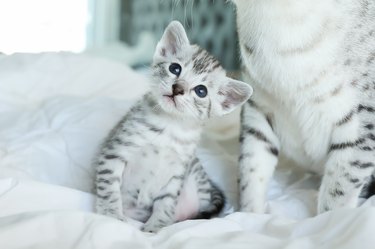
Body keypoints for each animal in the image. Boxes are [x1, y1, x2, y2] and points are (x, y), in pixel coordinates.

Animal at [93, 20, 253, 232]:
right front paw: (110, 213)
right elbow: (109, 185)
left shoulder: (176, 173)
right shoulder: (115, 152)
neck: (170, 125)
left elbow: (167, 202)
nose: (177, 88)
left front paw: (156, 227)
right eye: (175, 69)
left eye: (201, 91)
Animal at [235, 0, 375, 214]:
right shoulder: (256, 109)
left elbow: (337, 193)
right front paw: (250, 214)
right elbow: (251, 171)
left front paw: (327, 220)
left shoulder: (361, 125)